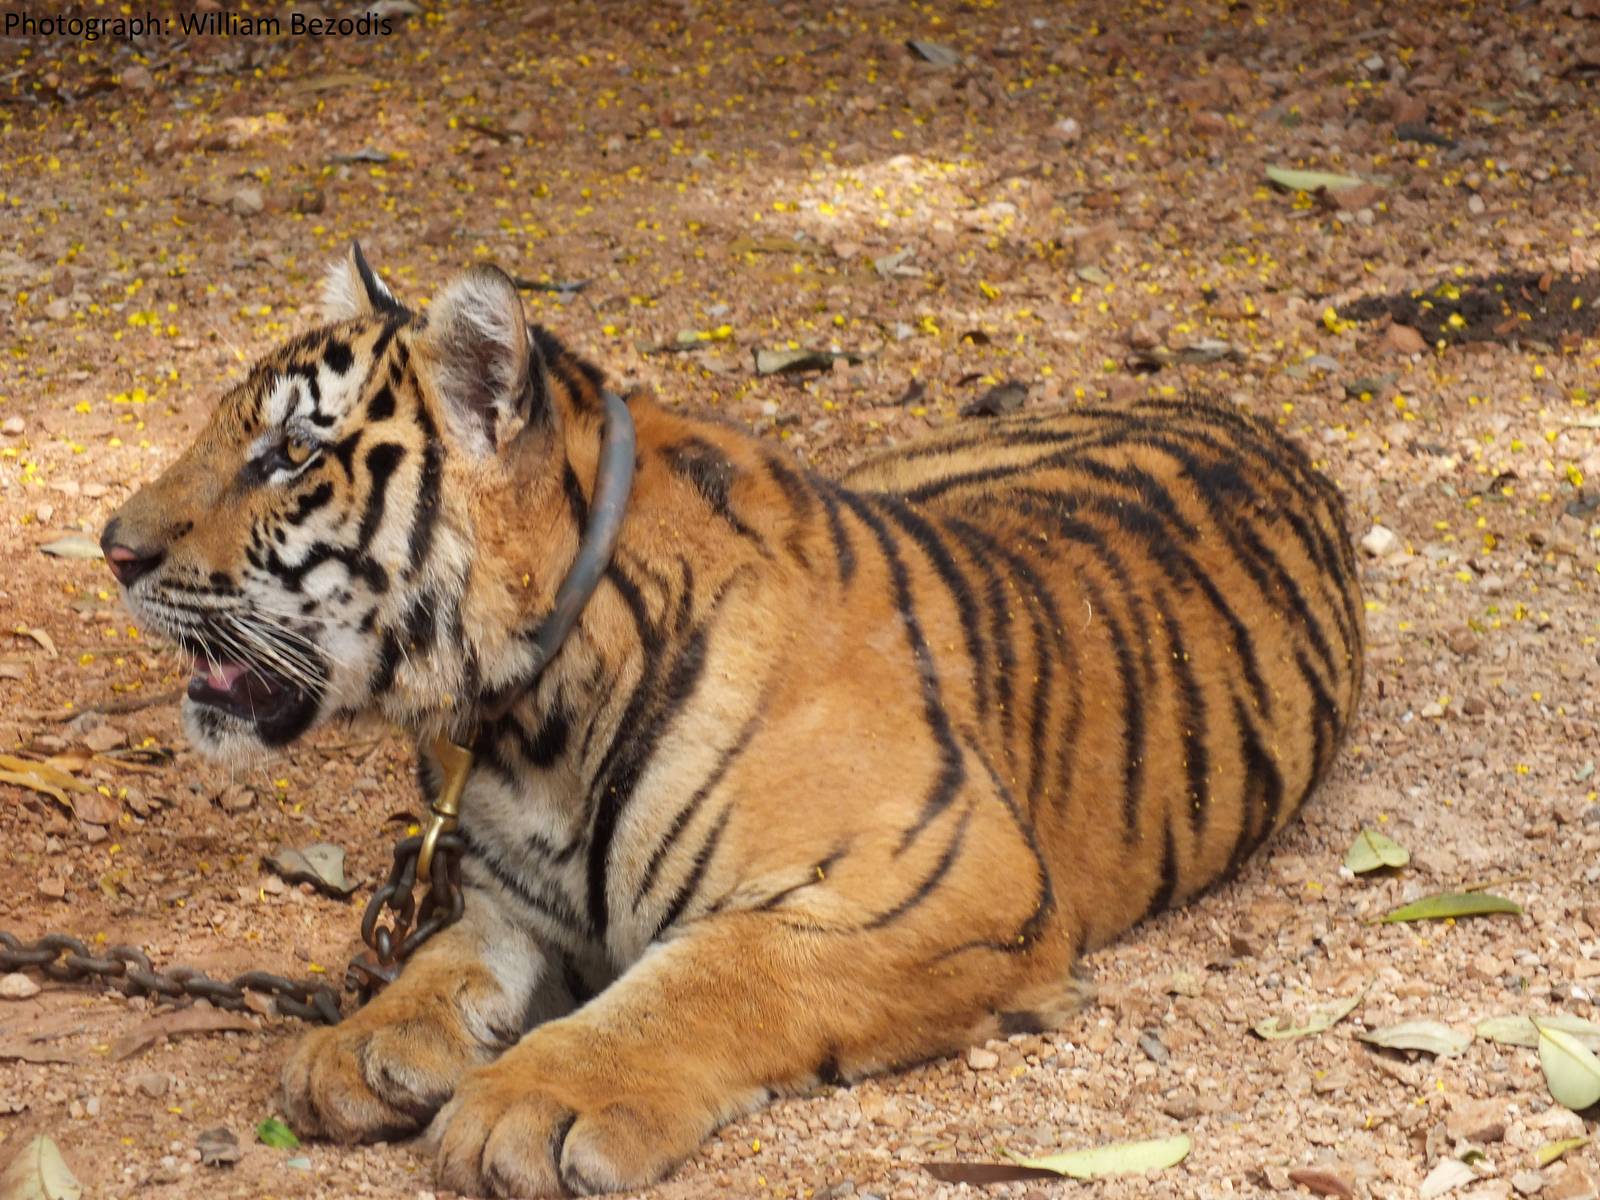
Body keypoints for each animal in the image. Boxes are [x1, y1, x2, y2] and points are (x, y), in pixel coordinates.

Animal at [100, 243, 1363, 1197]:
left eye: (291, 454)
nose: (113, 549)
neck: (528, 721)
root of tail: (1196, 395)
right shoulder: (508, 894)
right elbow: (447, 956)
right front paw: (364, 1040)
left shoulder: (947, 886)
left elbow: (709, 976)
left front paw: (533, 1100)